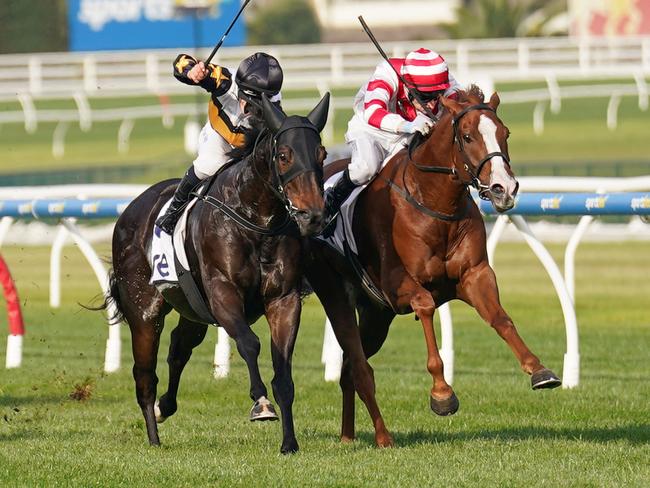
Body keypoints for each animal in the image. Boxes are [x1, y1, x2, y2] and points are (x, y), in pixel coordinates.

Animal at [107, 94, 330, 454]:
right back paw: (154, 437)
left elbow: (283, 372)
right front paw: (261, 404)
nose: (313, 216)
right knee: (144, 375)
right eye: (284, 155)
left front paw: (289, 443)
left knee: (178, 349)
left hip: (192, 309)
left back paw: (165, 406)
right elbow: (249, 343)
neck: (254, 219)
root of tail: (130, 210)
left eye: (321, 154)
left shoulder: (284, 300)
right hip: (144, 313)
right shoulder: (223, 294)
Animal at [306, 86, 560, 446]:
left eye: (505, 133)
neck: (435, 202)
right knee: (355, 363)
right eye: (467, 136)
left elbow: (500, 317)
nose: (504, 188)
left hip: (375, 316)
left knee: (348, 370)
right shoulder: (397, 286)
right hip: (336, 292)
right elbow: (425, 306)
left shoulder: (474, 275)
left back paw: (348, 436)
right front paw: (442, 394)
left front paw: (538, 370)